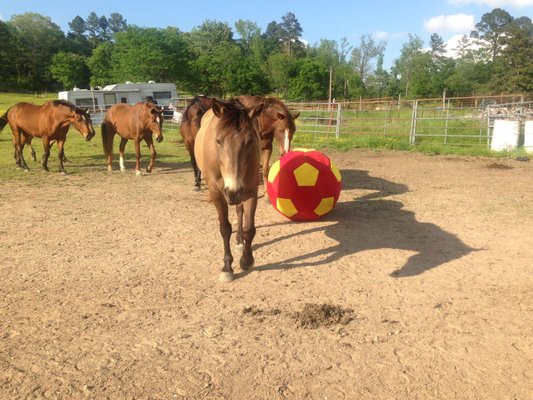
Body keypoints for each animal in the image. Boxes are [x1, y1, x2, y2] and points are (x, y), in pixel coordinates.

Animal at [193, 98, 264, 282]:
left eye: (250, 141)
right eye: (219, 140)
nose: (233, 191)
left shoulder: (250, 191)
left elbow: (249, 228)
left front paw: (246, 260)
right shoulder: (217, 193)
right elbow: (225, 228)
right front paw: (227, 267)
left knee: (239, 212)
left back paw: (239, 242)